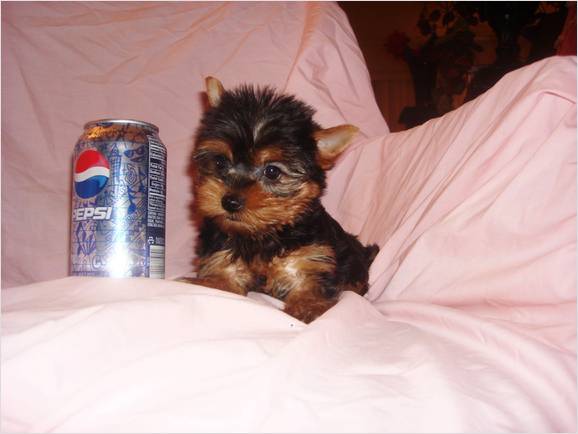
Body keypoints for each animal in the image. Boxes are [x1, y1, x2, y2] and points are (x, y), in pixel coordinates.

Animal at [189, 77, 378, 322]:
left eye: (272, 171)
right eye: (220, 162)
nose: (229, 202)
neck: (262, 234)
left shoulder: (310, 260)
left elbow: (309, 289)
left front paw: (308, 309)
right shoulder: (222, 255)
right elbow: (220, 282)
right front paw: (205, 284)